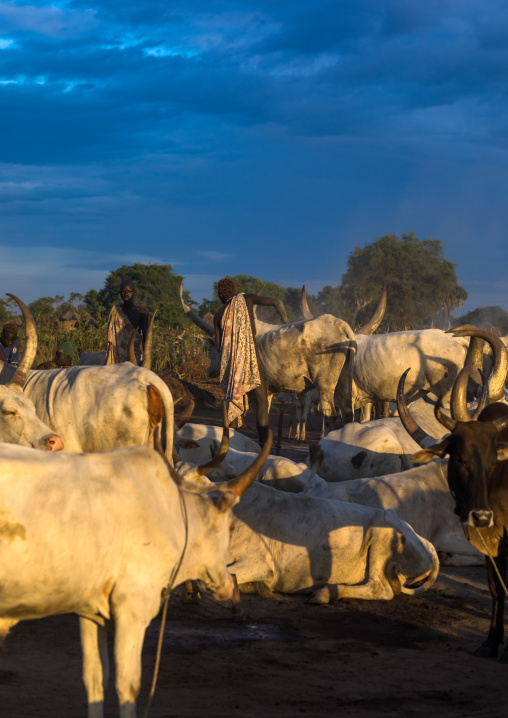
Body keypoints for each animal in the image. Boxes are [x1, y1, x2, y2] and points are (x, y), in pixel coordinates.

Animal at [0, 434, 271, 717]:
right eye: (231, 526)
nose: (228, 584)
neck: (170, 516)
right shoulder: (133, 610)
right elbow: (128, 686)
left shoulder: (89, 610)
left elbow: (95, 679)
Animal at [179, 280, 356, 432]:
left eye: (211, 349)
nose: (208, 371)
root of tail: (340, 325)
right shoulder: (268, 389)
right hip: (344, 380)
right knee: (347, 411)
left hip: (325, 386)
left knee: (330, 416)